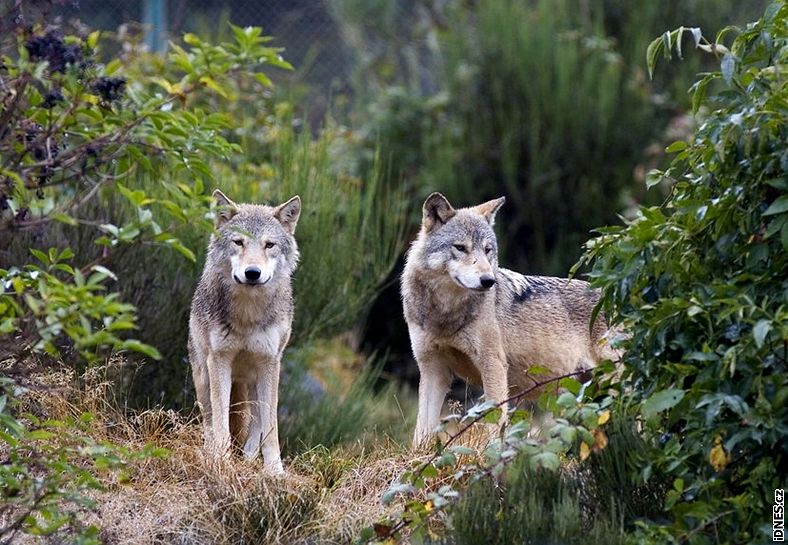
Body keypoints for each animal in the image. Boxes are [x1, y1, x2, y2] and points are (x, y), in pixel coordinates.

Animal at [188, 189, 302, 470]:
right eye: (238, 242)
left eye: (269, 245)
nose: (252, 273)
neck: (247, 316)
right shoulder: (219, 360)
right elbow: (220, 424)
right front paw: (221, 461)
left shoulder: (269, 362)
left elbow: (270, 429)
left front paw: (274, 470)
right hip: (203, 376)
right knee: (209, 420)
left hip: (260, 379)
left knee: (258, 423)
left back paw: (250, 460)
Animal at [404, 193, 620, 444]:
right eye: (460, 248)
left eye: (487, 250)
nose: (488, 281)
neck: (446, 314)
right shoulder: (433, 369)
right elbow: (421, 430)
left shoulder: (493, 365)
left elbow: (493, 421)